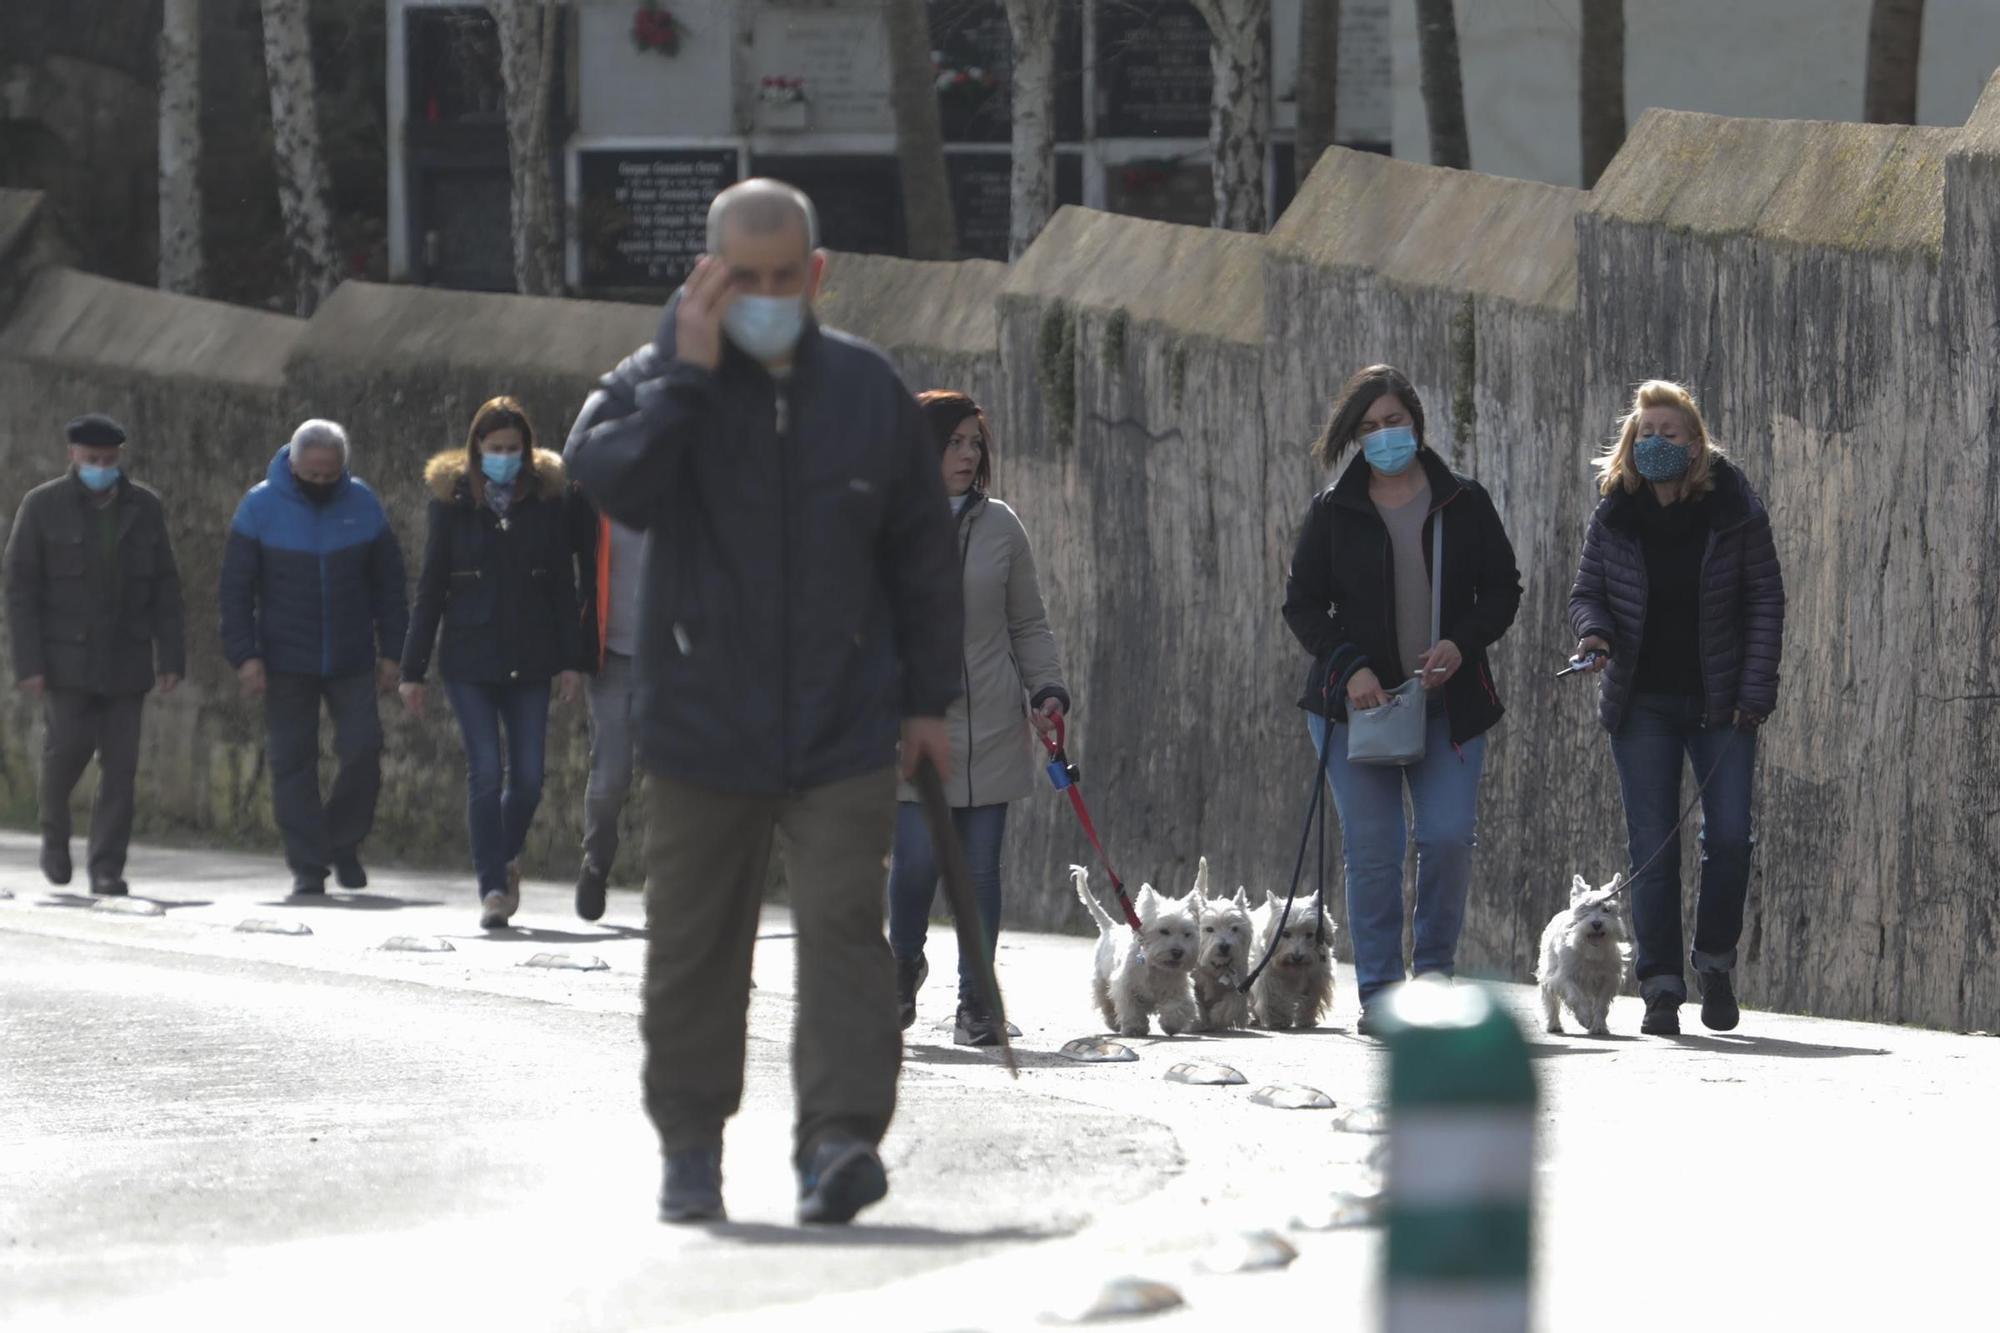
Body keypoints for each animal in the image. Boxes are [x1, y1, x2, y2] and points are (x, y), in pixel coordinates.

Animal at [1072, 860, 1192, 1040]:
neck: (1154, 965)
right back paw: (1113, 1023)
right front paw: (1135, 1028)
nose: (1177, 953)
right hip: (1101, 979)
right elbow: (1130, 1008)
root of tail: (1110, 926)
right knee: (1105, 1001)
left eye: (1187, 934)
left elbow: (1178, 1005)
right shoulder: (1124, 985)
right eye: (1164, 931)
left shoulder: (1177, 987)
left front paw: (1171, 1024)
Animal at [1184, 856, 1248, 1032]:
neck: (1216, 967)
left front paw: (1217, 1017)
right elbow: (1195, 1000)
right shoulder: (1194, 981)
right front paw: (1198, 1021)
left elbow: (1232, 1003)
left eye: (1234, 928)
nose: (1224, 946)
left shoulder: (1239, 981)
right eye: (1209, 929)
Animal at [1240, 892, 1336, 1024]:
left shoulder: (1317, 977)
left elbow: (1311, 999)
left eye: (1310, 934)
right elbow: (1274, 997)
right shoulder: (1270, 977)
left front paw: (1306, 1019)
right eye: (1285, 933)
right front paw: (1277, 1020)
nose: (1297, 957)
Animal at [1536, 872, 1632, 1040]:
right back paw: (1553, 1025)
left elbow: (1601, 1004)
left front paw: (1598, 1025)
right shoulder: (1564, 976)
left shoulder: (1608, 978)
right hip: (1547, 972)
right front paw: (1585, 1018)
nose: (1596, 924)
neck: (1590, 950)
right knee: (1551, 1001)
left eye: (1606, 909)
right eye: (1584, 909)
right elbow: (1575, 996)